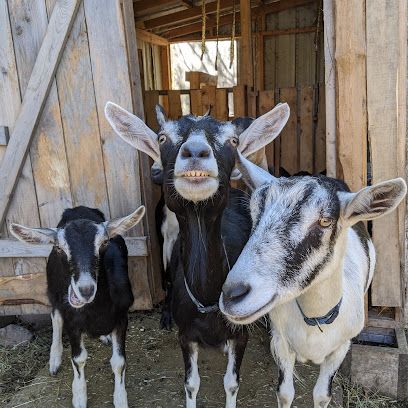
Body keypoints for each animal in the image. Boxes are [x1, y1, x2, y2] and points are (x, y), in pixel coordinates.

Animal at [9, 206, 147, 408]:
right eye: (59, 247)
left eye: (105, 242)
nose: (86, 290)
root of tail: (77, 208)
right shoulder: (72, 322)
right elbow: (78, 359)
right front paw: (80, 397)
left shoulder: (122, 317)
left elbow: (119, 362)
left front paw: (120, 400)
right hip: (53, 289)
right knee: (55, 317)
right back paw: (54, 360)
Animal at [105, 99, 290, 408]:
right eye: (162, 138)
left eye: (233, 141)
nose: (195, 153)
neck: (206, 299)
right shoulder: (186, 336)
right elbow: (191, 384)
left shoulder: (240, 336)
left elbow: (232, 383)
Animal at [222, 153, 406, 408]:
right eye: (253, 212)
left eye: (325, 221)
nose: (232, 295)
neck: (315, 319)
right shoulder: (281, 343)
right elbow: (285, 393)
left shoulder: (341, 348)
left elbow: (322, 396)